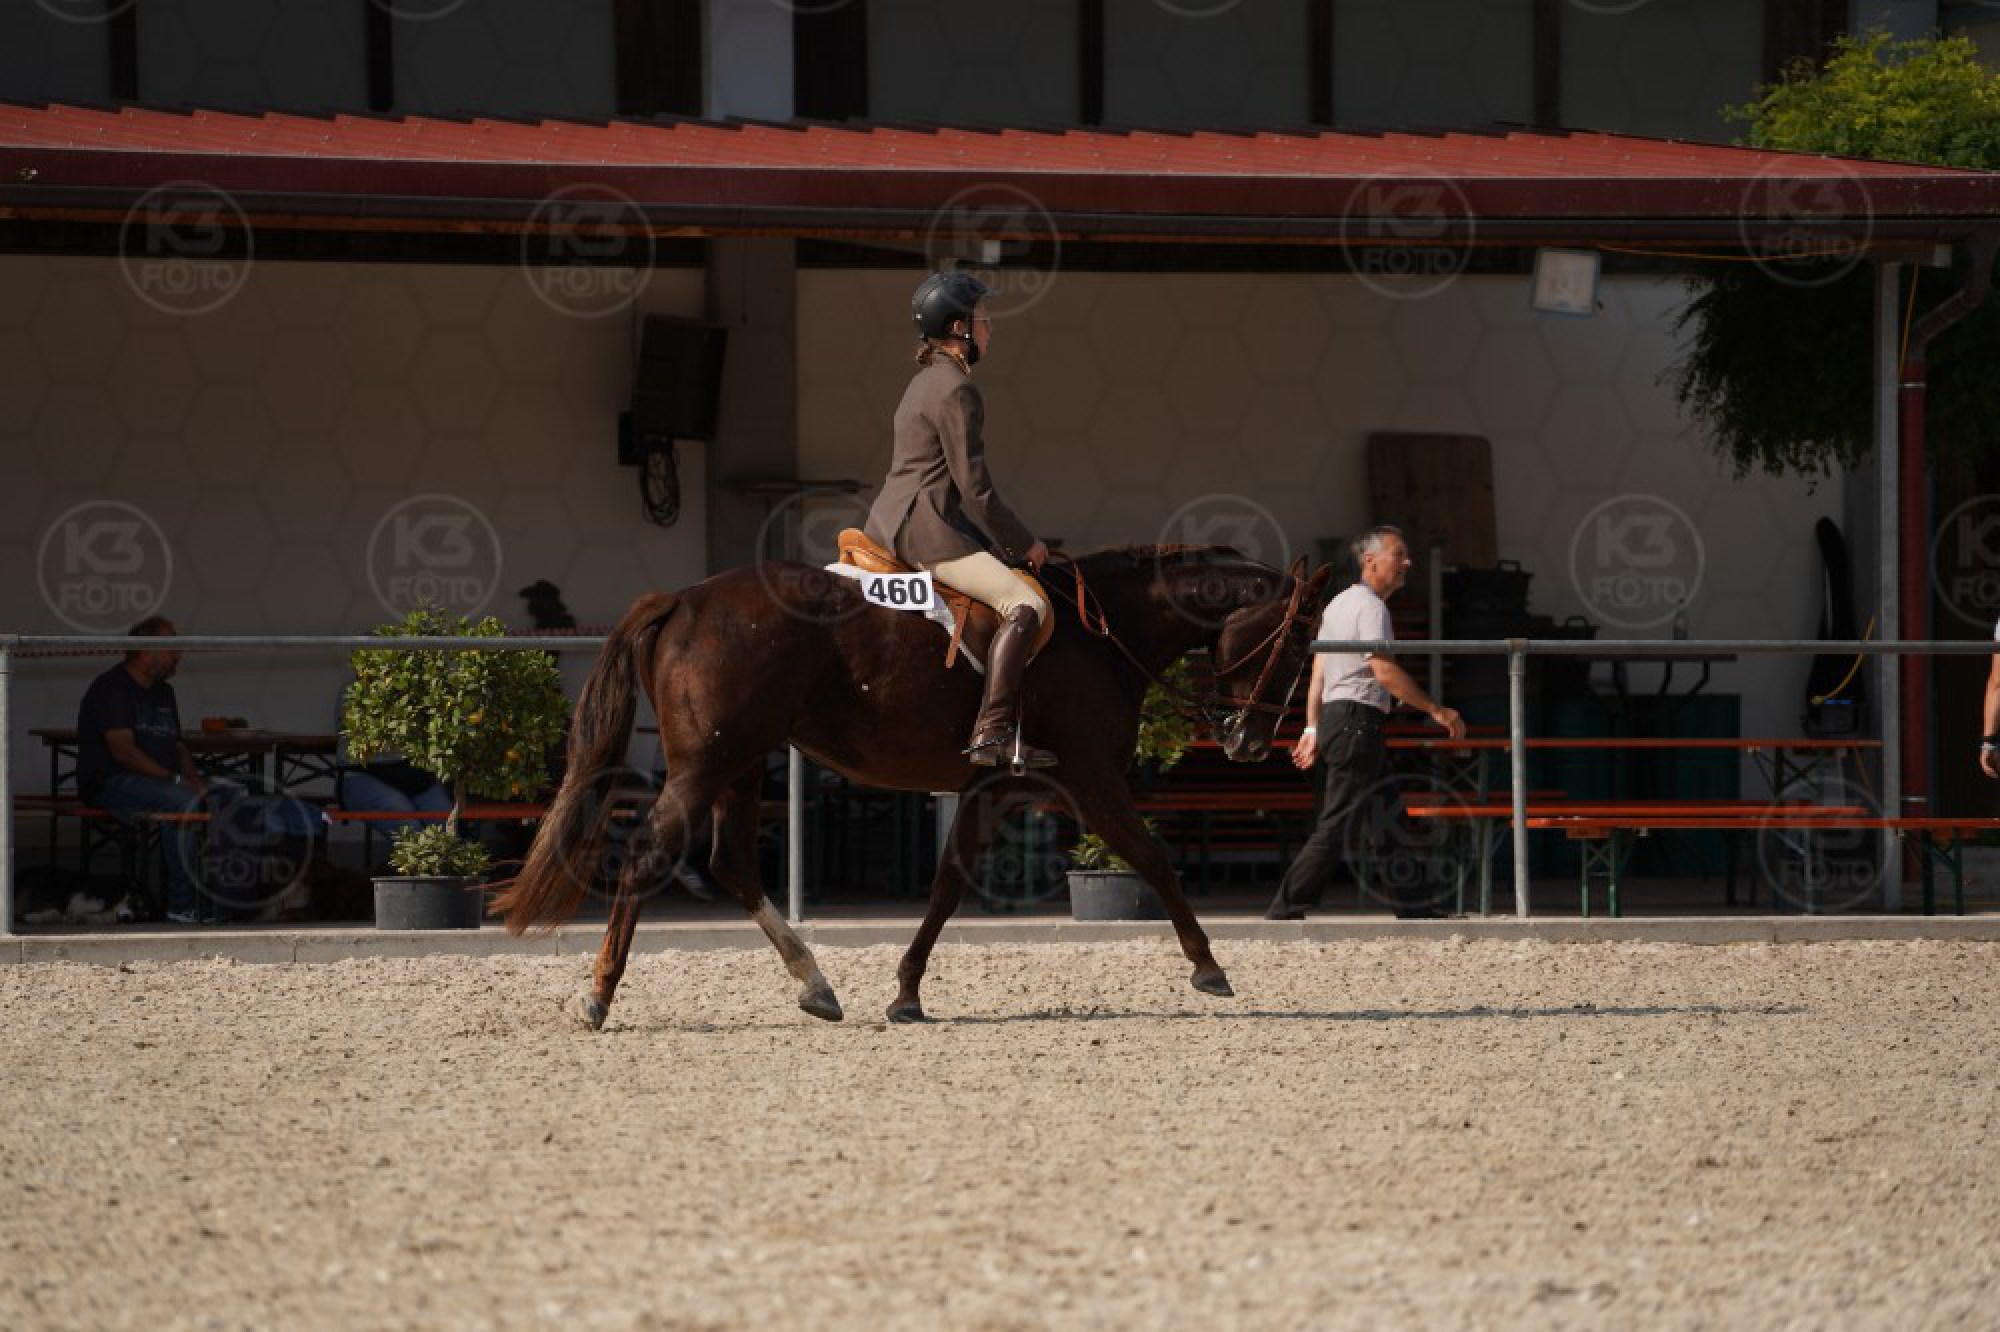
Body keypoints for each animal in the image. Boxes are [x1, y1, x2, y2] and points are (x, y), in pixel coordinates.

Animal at [493, 545, 1333, 1028]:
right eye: (1296, 646)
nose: (1249, 743)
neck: (1105, 634)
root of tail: (685, 598)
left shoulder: (996, 789)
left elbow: (947, 885)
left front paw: (905, 993)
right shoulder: (1091, 781)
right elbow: (1156, 861)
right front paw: (1209, 968)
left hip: (739, 764)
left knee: (731, 863)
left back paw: (815, 985)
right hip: (708, 765)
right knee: (648, 858)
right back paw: (600, 994)